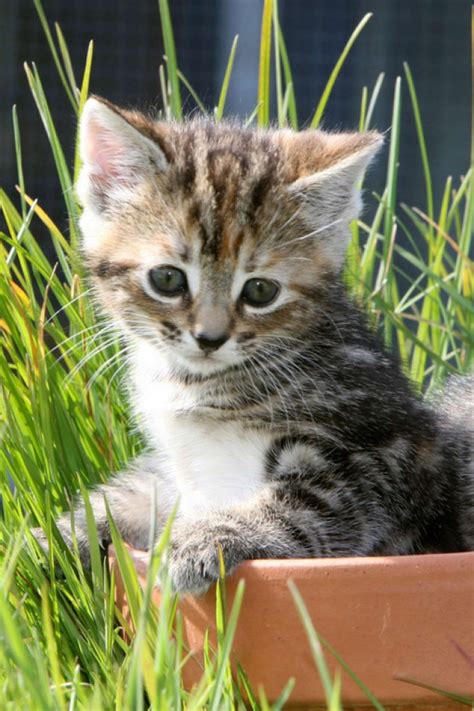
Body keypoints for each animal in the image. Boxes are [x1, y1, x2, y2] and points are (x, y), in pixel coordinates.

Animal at [34, 96, 474, 596]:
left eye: (261, 291)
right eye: (167, 279)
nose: (210, 337)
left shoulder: (387, 462)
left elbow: (302, 504)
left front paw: (209, 535)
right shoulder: (178, 470)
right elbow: (137, 494)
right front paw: (50, 539)